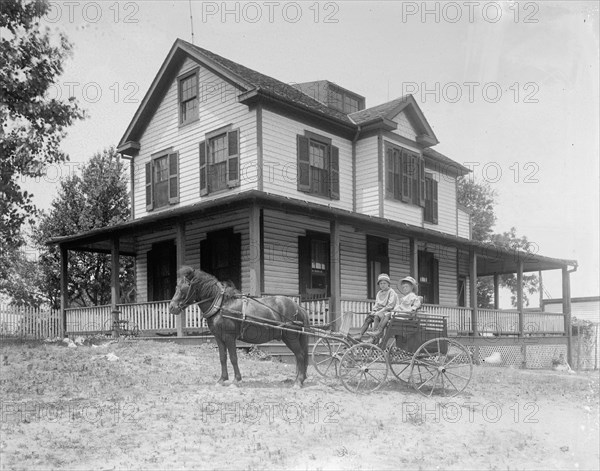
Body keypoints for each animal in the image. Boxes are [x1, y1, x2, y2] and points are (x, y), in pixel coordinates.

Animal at [169, 268, 310, 390]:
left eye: (184, 287)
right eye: (176, 287)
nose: (172, 307)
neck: (221, 305)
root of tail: (298, 307)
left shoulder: (229, 337)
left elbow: (233, 357)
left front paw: (236, 380)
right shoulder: (219, 338)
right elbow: (222, 357)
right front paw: (222, 379)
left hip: (290, 337)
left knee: (300, 355)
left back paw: (298, 382)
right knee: (299, 357)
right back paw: (299, 379)